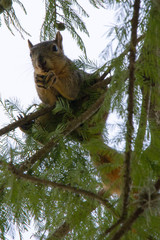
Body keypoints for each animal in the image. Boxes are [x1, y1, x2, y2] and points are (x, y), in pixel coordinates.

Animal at [26, 31, 122, 195]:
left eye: (55, 48)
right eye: (30, 54)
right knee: (42, 135)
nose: (40, 62)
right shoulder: (49, 100)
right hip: (47, 117)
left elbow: (70, 89)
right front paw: (36, 80)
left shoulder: (75, 75)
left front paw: (54, 78)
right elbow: (49, 102)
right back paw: (27, 128)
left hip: (99, 103)